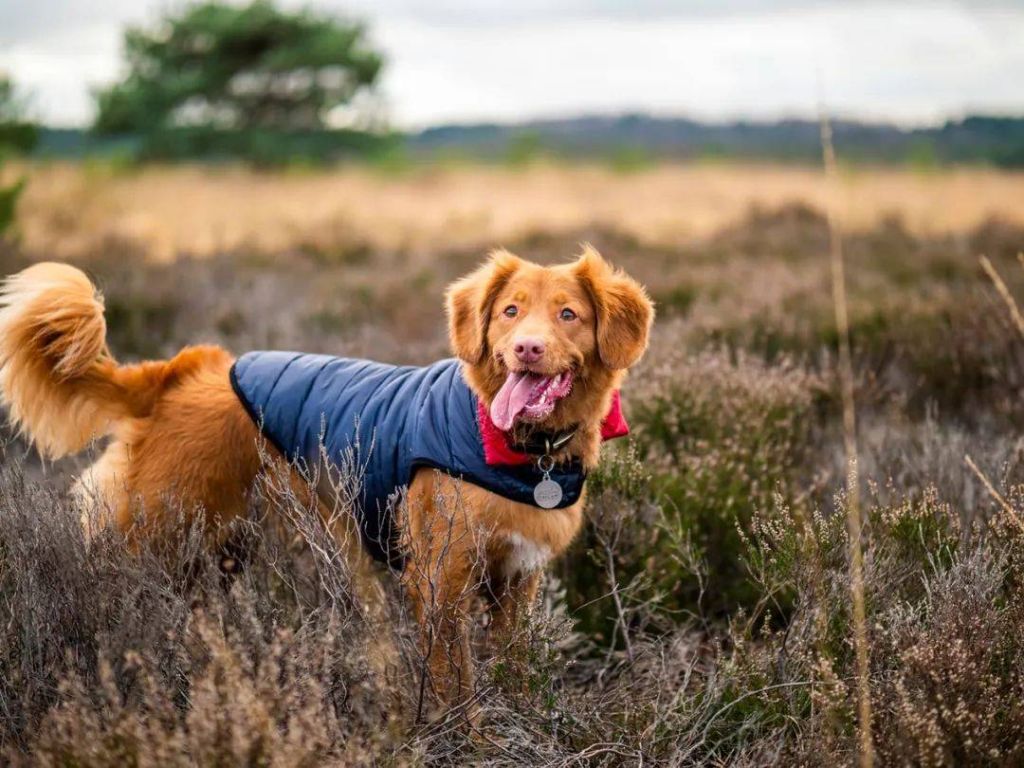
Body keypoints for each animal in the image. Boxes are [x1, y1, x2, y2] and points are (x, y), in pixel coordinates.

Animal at [0, 249, 651, 712]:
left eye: (568, 314)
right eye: (510, 311)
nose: (527, 349)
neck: (515, 446)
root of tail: (180, 373)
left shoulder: (518, 583)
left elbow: (514, 672)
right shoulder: (440, 584)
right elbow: (456, 688)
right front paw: (469, 742)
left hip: (219, 551)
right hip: (154, 536)